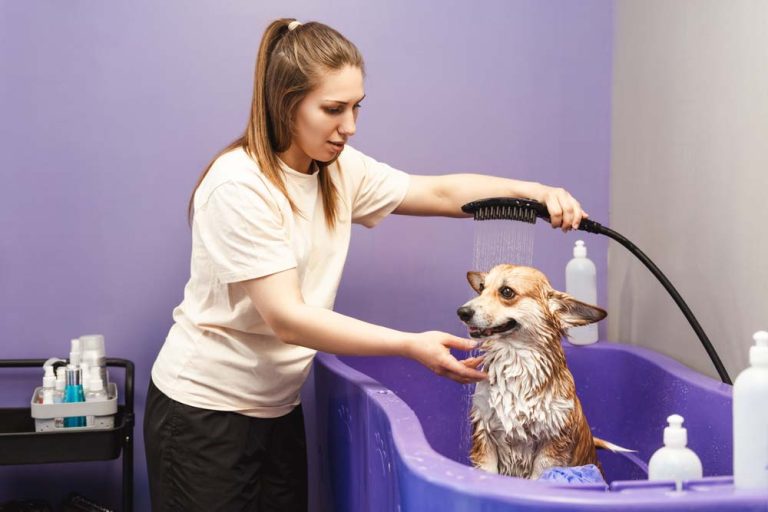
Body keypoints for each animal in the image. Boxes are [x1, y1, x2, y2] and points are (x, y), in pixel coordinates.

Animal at [456, 264, 624, 480]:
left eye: (507, 292)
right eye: (482, 287)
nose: (462, 312)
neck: (516, 361)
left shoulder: (551, 446)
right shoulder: (485, 436)